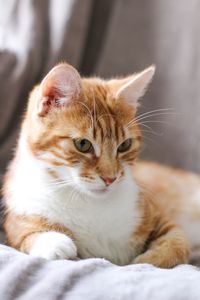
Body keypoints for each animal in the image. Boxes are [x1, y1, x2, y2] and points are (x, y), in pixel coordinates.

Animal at [2, 62, 200, 268]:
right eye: (83, 144)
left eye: (125, 145)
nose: (110, 178)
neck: (89, 203)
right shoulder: (17, 218)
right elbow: (26, 235)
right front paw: (54, 242)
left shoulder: (155, 213)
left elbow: (177, 240)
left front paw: (146, 260)